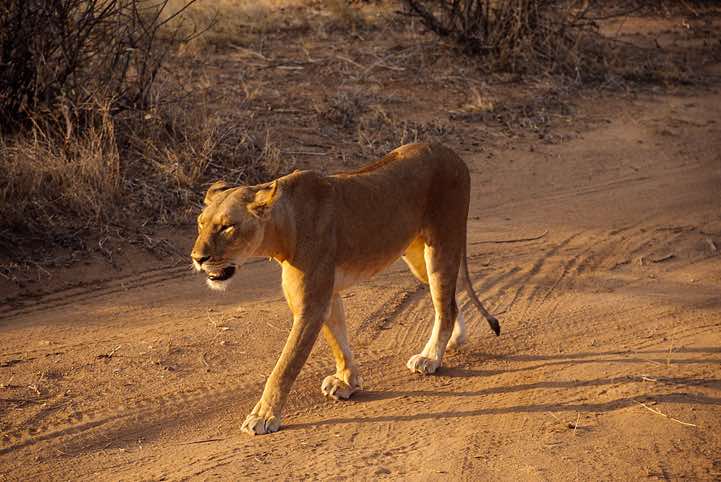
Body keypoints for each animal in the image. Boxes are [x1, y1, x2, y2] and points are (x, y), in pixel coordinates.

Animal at [191, 142, 500, 435]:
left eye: (227, 227)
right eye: (200, 224)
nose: (197, 258)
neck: (282, 228)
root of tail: (451, 152)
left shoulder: (312, 305)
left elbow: (284, 367)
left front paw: (264, 416)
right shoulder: (327, 294)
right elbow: (338, 340)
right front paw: (347, 382)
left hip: (441, 243)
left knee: (444, 301)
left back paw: (431, 357)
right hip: (416, 255)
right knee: (447, 301)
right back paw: (450, 342)